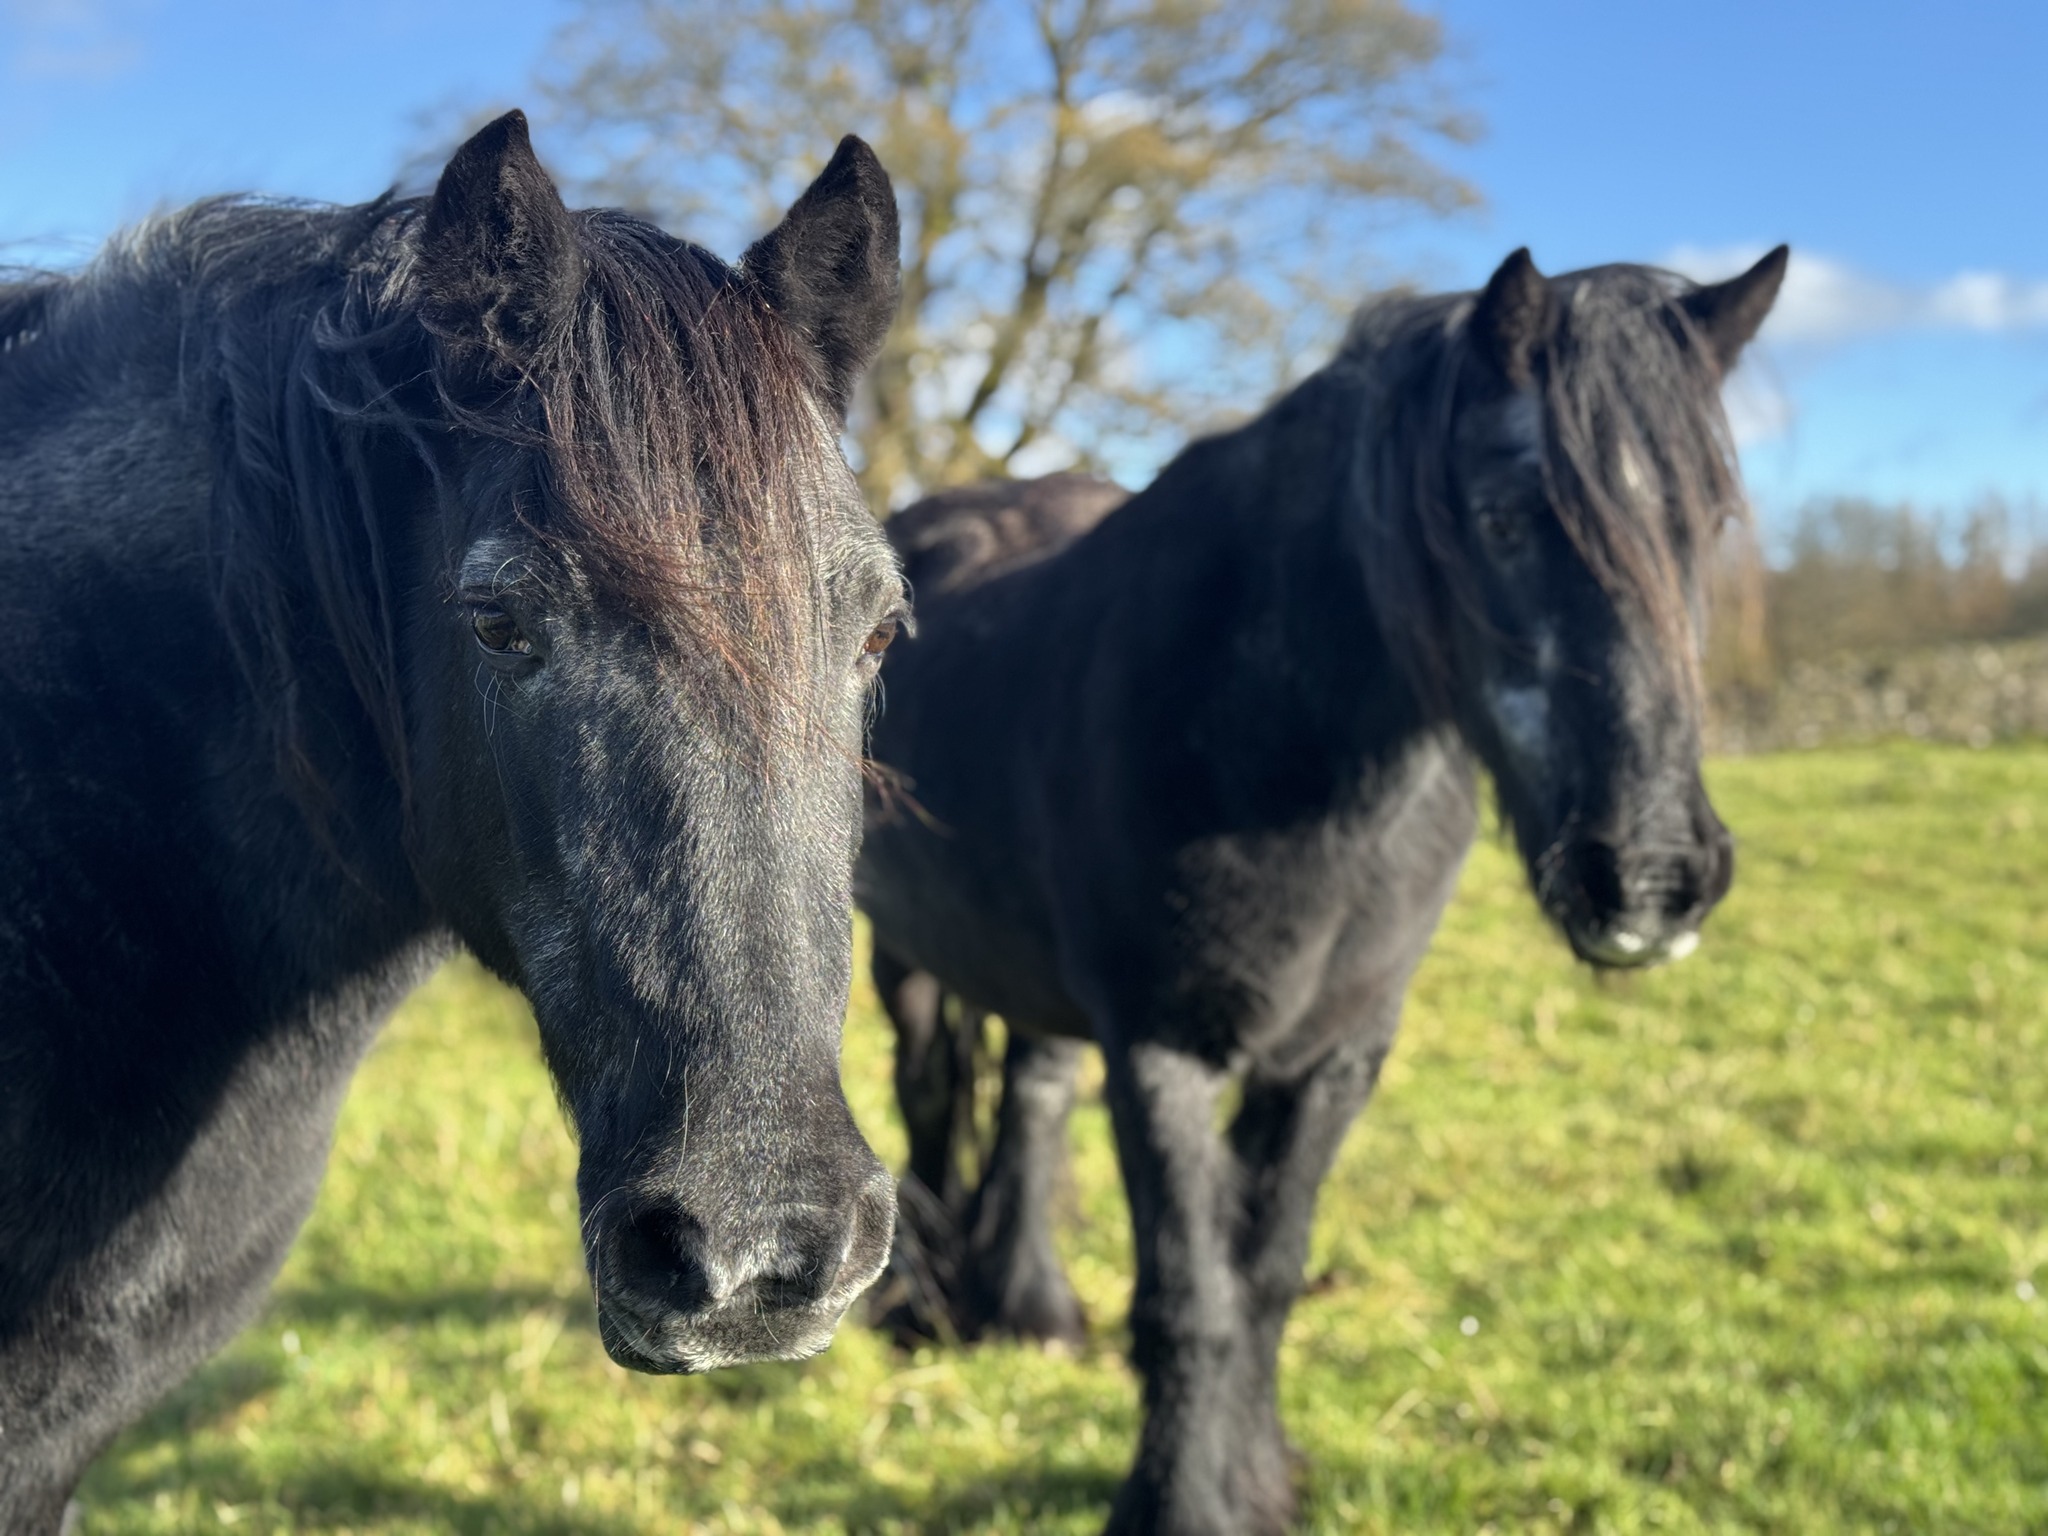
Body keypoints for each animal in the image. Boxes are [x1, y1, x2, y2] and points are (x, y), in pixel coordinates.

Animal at [856, 246, 1788, 1534]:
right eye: (1501, 519)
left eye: (1706, 523)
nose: (1647, 878)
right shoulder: (1162, 1055)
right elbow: (1191, 1297)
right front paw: (1182, 1504)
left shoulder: (1333, 1058)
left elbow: (1265, 1280)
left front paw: (1256, 1482)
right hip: (897, 951)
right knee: (926, 1088)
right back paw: (921, 1308)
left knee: (1029, 1094)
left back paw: (1028, 1309)